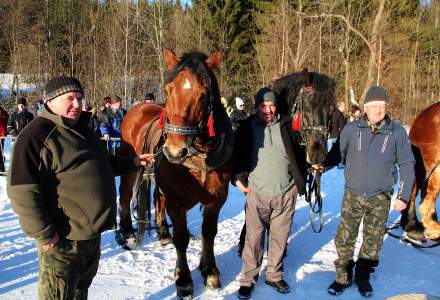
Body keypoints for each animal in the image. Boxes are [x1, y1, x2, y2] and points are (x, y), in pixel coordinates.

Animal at [117, 48, 234, 298]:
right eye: (168, 90)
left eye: (203, 94)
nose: (174, 151)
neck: (199, 159)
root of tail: (138, 107)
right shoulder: (177, 201)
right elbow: (181, 239)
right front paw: (184, 279)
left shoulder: (216, 200)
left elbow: (209, 233)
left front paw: (209, 270)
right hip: (130, 166)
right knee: (125, 195)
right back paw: (128, 230)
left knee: (157, 198)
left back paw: (162, 233)